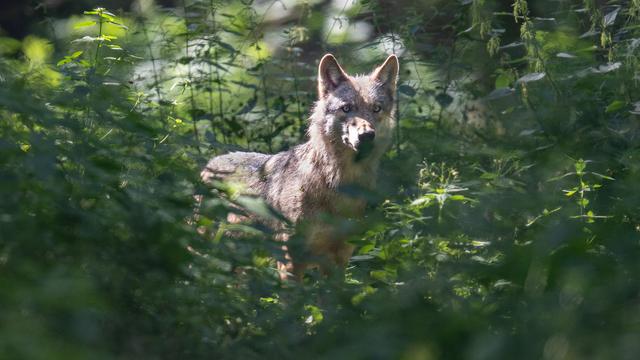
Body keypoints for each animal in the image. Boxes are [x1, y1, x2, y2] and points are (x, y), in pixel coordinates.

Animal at [201, 53, 400, 280]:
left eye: (376, 108)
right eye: (346, 108)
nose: (367, 136)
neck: (338, 186)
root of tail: (209, 164)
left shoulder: (338, 261)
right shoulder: (290, 261)